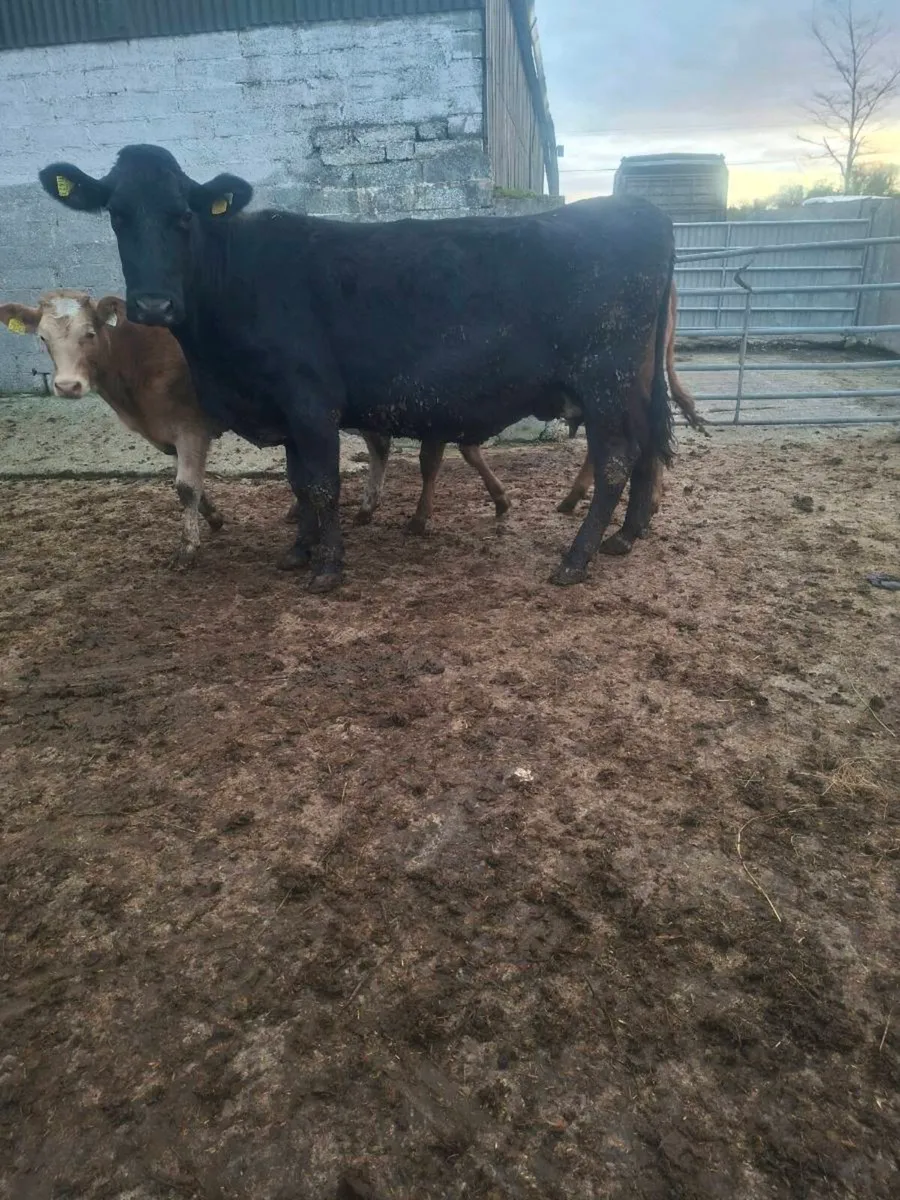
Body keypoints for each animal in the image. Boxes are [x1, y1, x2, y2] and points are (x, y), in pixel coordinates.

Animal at [0, 289, 224, 565]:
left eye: (89, 333)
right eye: (43, 337)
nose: (67, 386)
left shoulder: (190, 426)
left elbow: (187, 486)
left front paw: (187, 549)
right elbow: (192, 481)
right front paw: (214, 518)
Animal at [39, 144, 677, 592]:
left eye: (183, 216)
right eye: (117, 215)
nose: (153, 306)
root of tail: (639, 212)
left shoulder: (308, 401)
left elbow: (322, 483)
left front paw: (327, 566)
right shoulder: (282, 411)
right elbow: (298, 481)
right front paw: (298, 552)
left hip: (605, 378)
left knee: (615, 458)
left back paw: (576, 557)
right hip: (633, 382)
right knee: (646, 447)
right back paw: (626, 536)